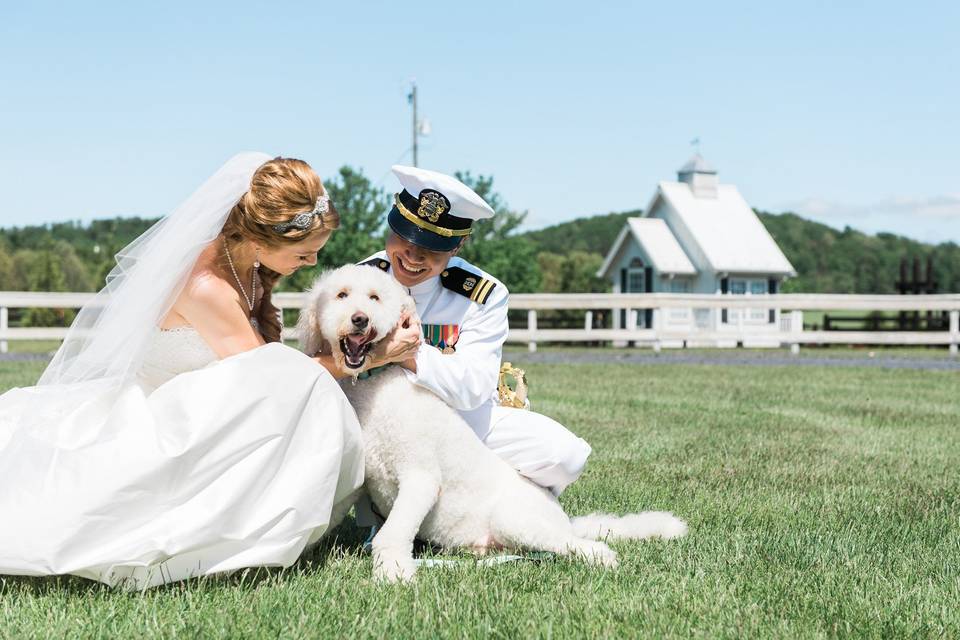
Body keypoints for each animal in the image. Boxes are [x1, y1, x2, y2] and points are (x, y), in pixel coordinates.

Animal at [296, 264, 688, 584]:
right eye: (341, 295)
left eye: (375, 297)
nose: (359, 319)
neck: (374, 387)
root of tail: (561, 517)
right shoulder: (360, 478)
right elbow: (328, 512)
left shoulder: (420, 478)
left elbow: (393, 533)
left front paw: (393, 572)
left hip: (518, 520)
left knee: (580, 545)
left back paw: (600, 558)